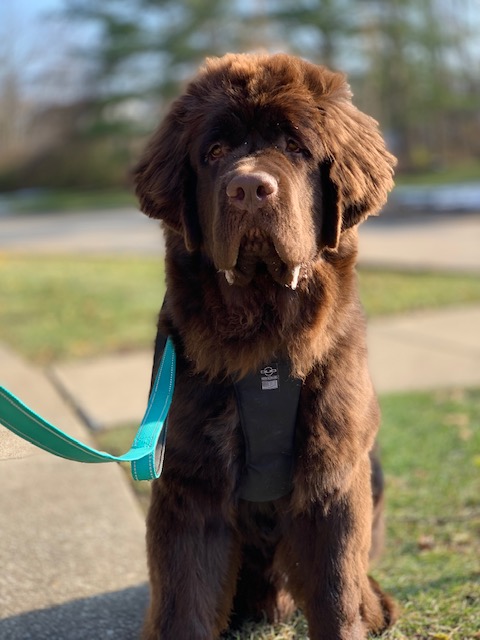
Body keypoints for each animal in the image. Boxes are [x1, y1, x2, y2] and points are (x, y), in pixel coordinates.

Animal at [135, 52, 398, 636]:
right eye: (213, 153)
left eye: (296, 147)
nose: (250, 188)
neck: (264, 332)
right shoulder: (190, 480)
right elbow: (184, 598)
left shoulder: (333, 471)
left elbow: (336, 589)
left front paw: (353, 613)